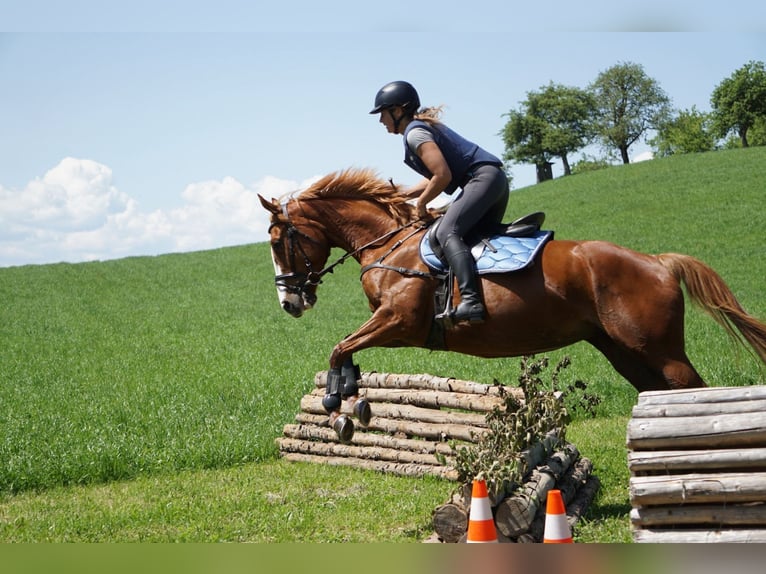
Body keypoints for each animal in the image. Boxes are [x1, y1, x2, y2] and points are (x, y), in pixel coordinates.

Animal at [259, 168, 766, 441]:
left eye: (279, 242)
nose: (289, 302)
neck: (390, 244)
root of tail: (658, 261)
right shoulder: (391, 326)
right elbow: (344, 349)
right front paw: (351, 397)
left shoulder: (400, 322)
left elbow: (340, 347)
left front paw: (339, 405)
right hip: (622, 350)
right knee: (657, 392)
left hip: (660, 349)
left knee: (690, 388)